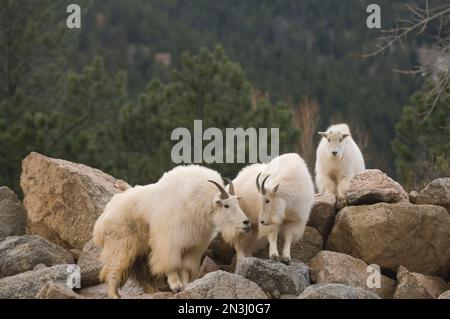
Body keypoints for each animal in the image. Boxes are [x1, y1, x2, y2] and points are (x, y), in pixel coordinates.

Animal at [93, 166, 250, 298]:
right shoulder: (169, 241)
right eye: (226, 205)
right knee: (113, 269)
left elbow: (185, 267)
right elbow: (171, 264)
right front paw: (176, 286)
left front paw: (186, 285)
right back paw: (114, 294)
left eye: (237, 203)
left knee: (141, 274)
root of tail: (104, 216)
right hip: (121, 244)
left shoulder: (192, 245)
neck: (197, 203)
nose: (246, 223)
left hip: (140, 251)